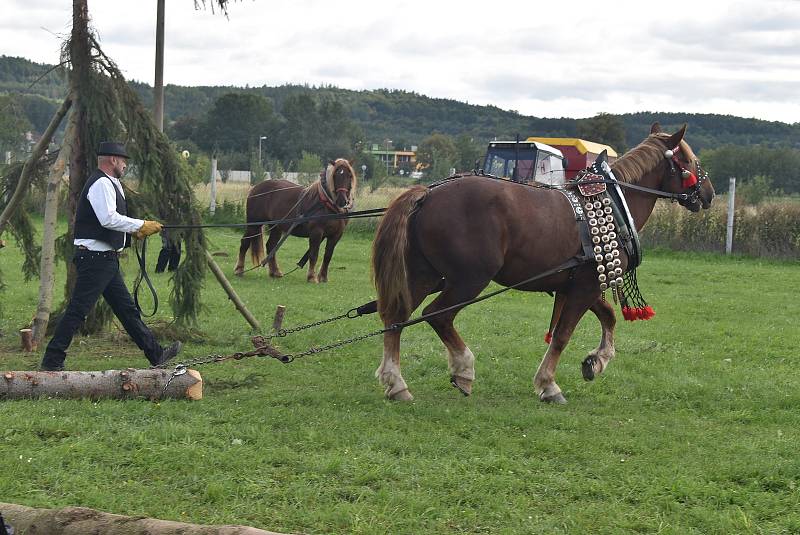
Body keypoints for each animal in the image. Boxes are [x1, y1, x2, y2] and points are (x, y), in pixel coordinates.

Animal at [372, 124, 716, 402]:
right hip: (468, 279)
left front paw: (596, 361)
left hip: (423, 275)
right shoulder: (585, 288)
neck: (614, 205)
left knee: (397, 317)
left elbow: (608, 317)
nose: (709, 195)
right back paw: (463, 370)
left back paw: (397, 384)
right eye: (688, 160)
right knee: (437, 315)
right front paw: (549, 385)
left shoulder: (582, 284)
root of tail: (428, 194)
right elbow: (563, 335)